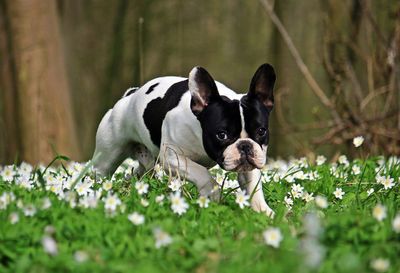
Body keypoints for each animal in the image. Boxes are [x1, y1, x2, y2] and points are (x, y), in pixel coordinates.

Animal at [92, 63, 276, 217]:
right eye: (222, 135)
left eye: (261, 131)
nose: (245, 146)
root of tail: (129, 95)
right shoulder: (173, 158)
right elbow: (202, 173)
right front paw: (212, 194)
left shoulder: (250, 163)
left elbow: (253, 185)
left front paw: (263, 211)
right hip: (107, 157)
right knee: (101, 170)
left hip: (147, 163)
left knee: (138, 173)